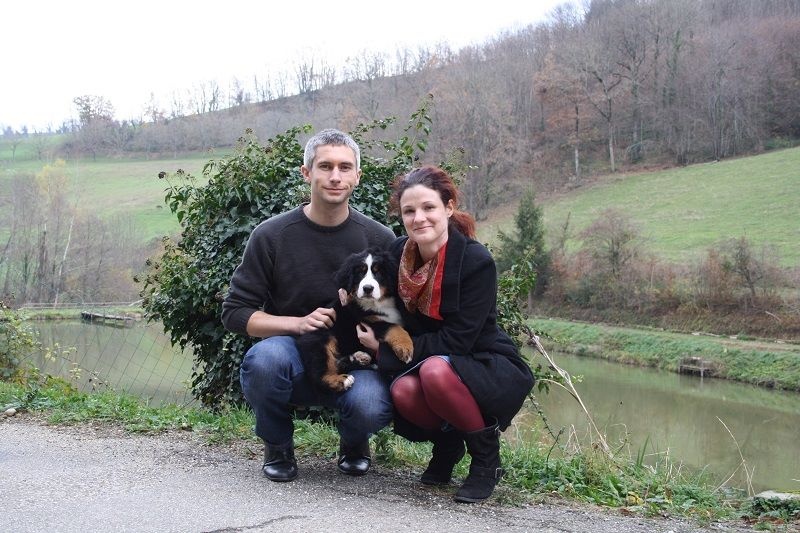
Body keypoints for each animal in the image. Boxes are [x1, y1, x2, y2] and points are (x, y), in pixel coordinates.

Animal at [296, 248, 413, 393]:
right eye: (360, 272)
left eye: (378, 272)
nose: (367, 288)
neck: (378, 304)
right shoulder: (368, 321)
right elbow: (393, 327)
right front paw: (405, 348)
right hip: (321, 338)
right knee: (319, 373)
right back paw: (341, 380)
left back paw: (360, 357)